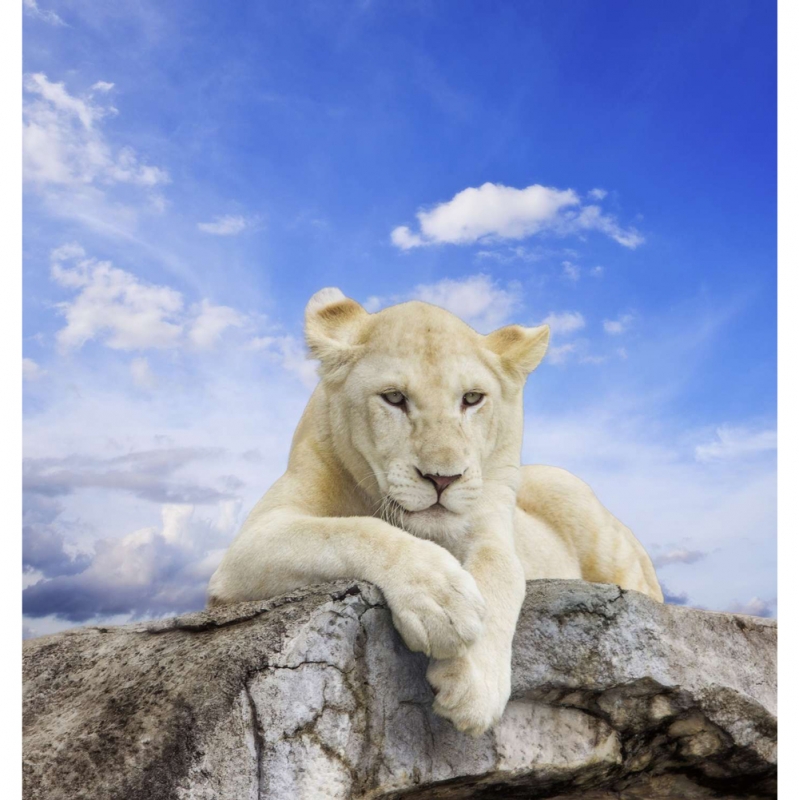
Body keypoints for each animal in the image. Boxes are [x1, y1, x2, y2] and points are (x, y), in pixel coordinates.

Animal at [208, 287, 663, 736]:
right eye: (394, 398)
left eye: (472, 398)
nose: (443, 479)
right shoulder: (249, 545)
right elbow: (351, 530)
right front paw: (441, 598)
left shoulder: (492, 525)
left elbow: (500, 570)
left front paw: (474, 683)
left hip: (574, 499)